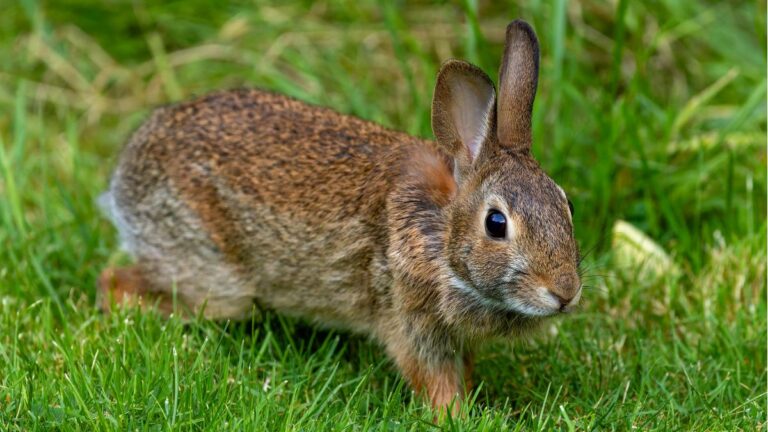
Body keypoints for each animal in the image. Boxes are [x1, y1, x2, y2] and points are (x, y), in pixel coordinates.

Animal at [98, 19, 581, 413]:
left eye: (566, 205)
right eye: (496, 224)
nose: (565, 293)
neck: (440, 235)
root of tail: (126, 170)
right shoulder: (410, 322)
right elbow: (434, 381)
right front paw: (456, 417)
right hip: (212, 274)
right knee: (120, 283)